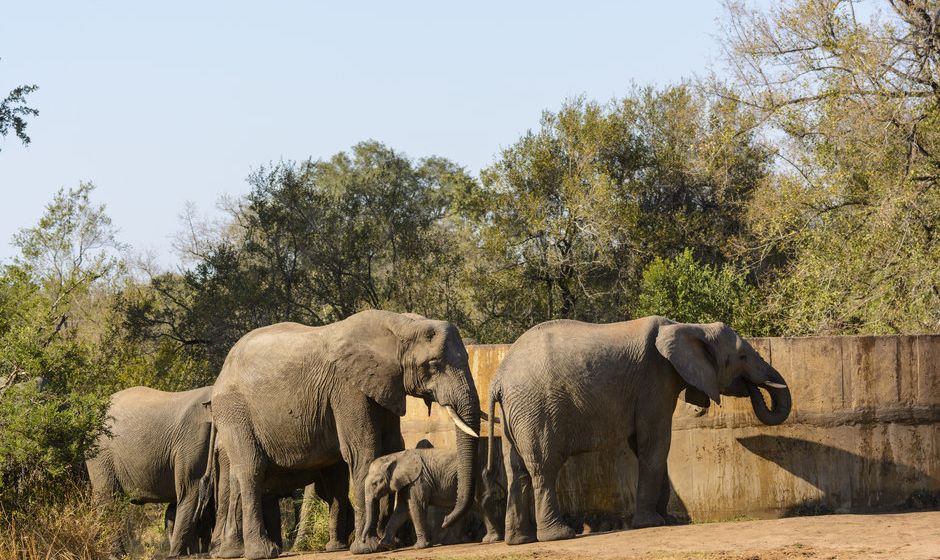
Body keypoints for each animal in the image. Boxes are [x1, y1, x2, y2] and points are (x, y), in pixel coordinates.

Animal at [86, 384, 215, 556]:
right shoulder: (195, 440)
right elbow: (190, 491)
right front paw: (176, 555)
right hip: (100, 454)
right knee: (109, 499)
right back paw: (117, 555)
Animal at [210, 308, 482, 556]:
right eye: (434, 365)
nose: (446, 521)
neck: (399, 324)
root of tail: (222, 370)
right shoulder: (348, 388)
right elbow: (363, 449)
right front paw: (366, 548)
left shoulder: (385, 386)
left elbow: (391, 446)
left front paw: (387, 544)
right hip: (234, 411)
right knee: (251, 469)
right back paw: (263, 552)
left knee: (242, 475)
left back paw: (236, 552)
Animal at [362, 438, 506, 548]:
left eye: (375, 484)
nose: (363, 540)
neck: (394, 457)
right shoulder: (405, 483)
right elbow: (401, 511)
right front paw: (384, 545)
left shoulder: (418, 480)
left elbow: (416, 506)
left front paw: (419, 547)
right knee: (477, 504)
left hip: (476, 477)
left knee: (480, 502)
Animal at [484, 318, 792, 544]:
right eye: (742, 356)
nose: (754, 387)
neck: (689, 326)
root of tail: (497, 379)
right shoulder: (654, 379)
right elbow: (654, 443)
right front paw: (651, 523)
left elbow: (646, 445)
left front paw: (668, 520)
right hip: (535, 409)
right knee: (543, 468)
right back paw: (559, 536)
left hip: (518, 411)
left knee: (517, 470)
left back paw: (518, 541)